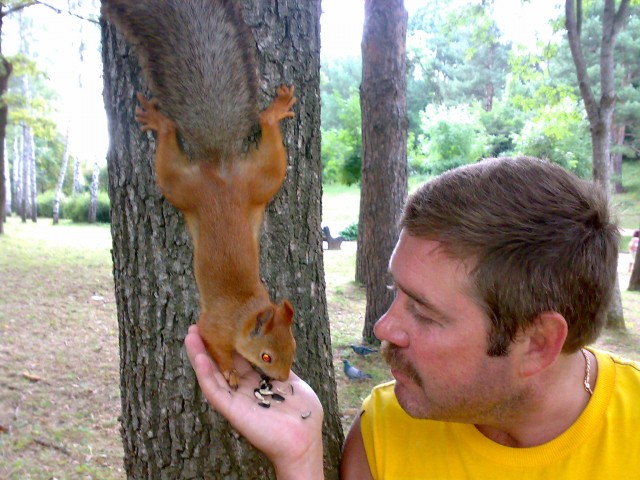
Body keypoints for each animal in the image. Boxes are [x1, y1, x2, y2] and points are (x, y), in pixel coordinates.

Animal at [102, 0, 298, 390]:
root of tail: (218, 170)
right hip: (181, 187)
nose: (283, 380)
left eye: (293, 347)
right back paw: (159, 121)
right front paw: (229, 372)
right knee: (169, 152)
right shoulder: (211, 326)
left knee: (267, 135)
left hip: (261, 182)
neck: (245, 310)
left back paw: (276, 109)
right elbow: (214, 346)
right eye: (266, 356)